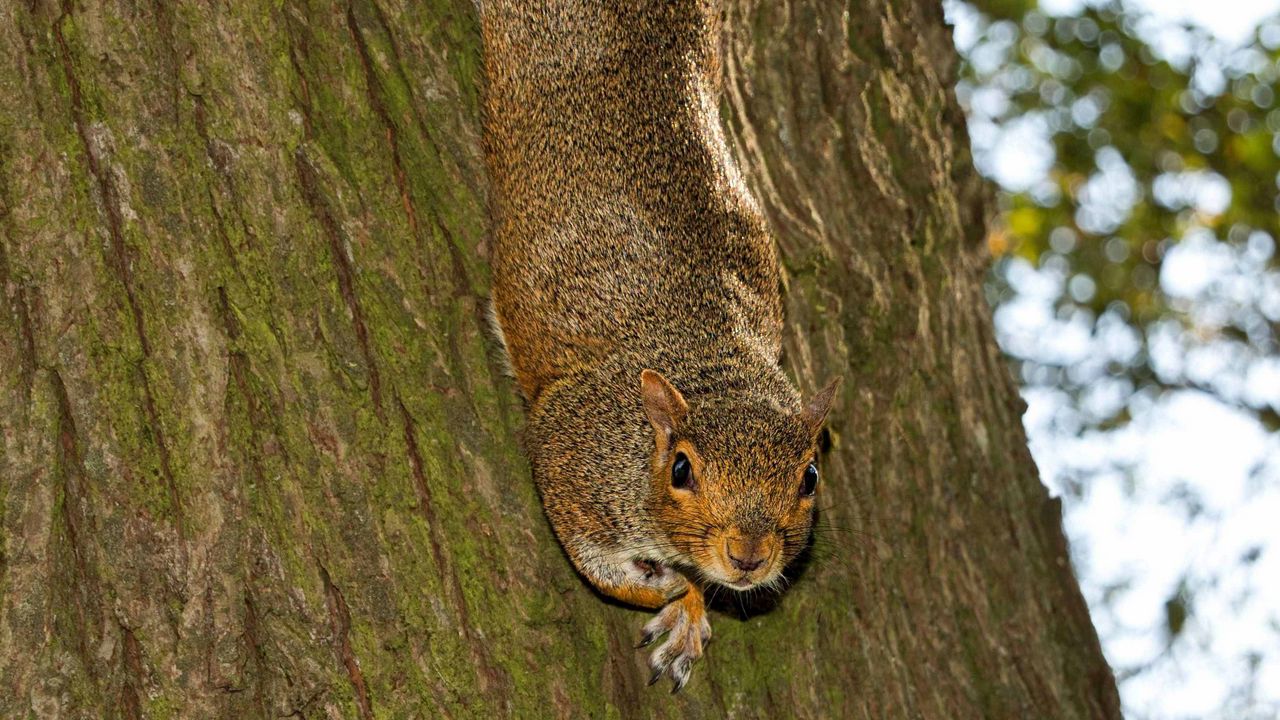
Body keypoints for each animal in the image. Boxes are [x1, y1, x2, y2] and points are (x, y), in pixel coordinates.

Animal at [479, 0, 840, 691]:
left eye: (810, 477)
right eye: (681, 469)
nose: (748, 557)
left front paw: (690, 610)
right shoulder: (568, 452)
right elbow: (600, 570)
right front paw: (673, 591)